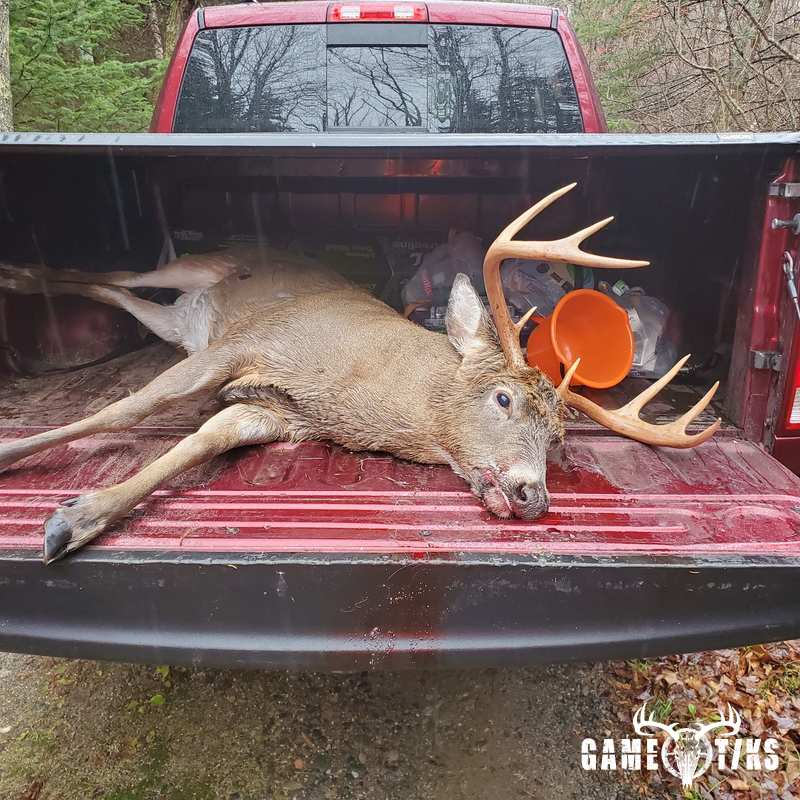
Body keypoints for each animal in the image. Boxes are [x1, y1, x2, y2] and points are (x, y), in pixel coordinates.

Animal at [0, 183, 720, 564]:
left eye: (560, 441)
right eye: (503, 398)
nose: (533, 495)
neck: (350, 381)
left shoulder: (273, 411)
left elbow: (201, 440)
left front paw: (76, 519)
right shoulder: (245, 345)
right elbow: (126, 408)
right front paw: (27, 471)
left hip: (179, 323)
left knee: (117, 292)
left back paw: (20, 276)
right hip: (201, 272)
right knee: (118, 274)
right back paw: (20, 272)